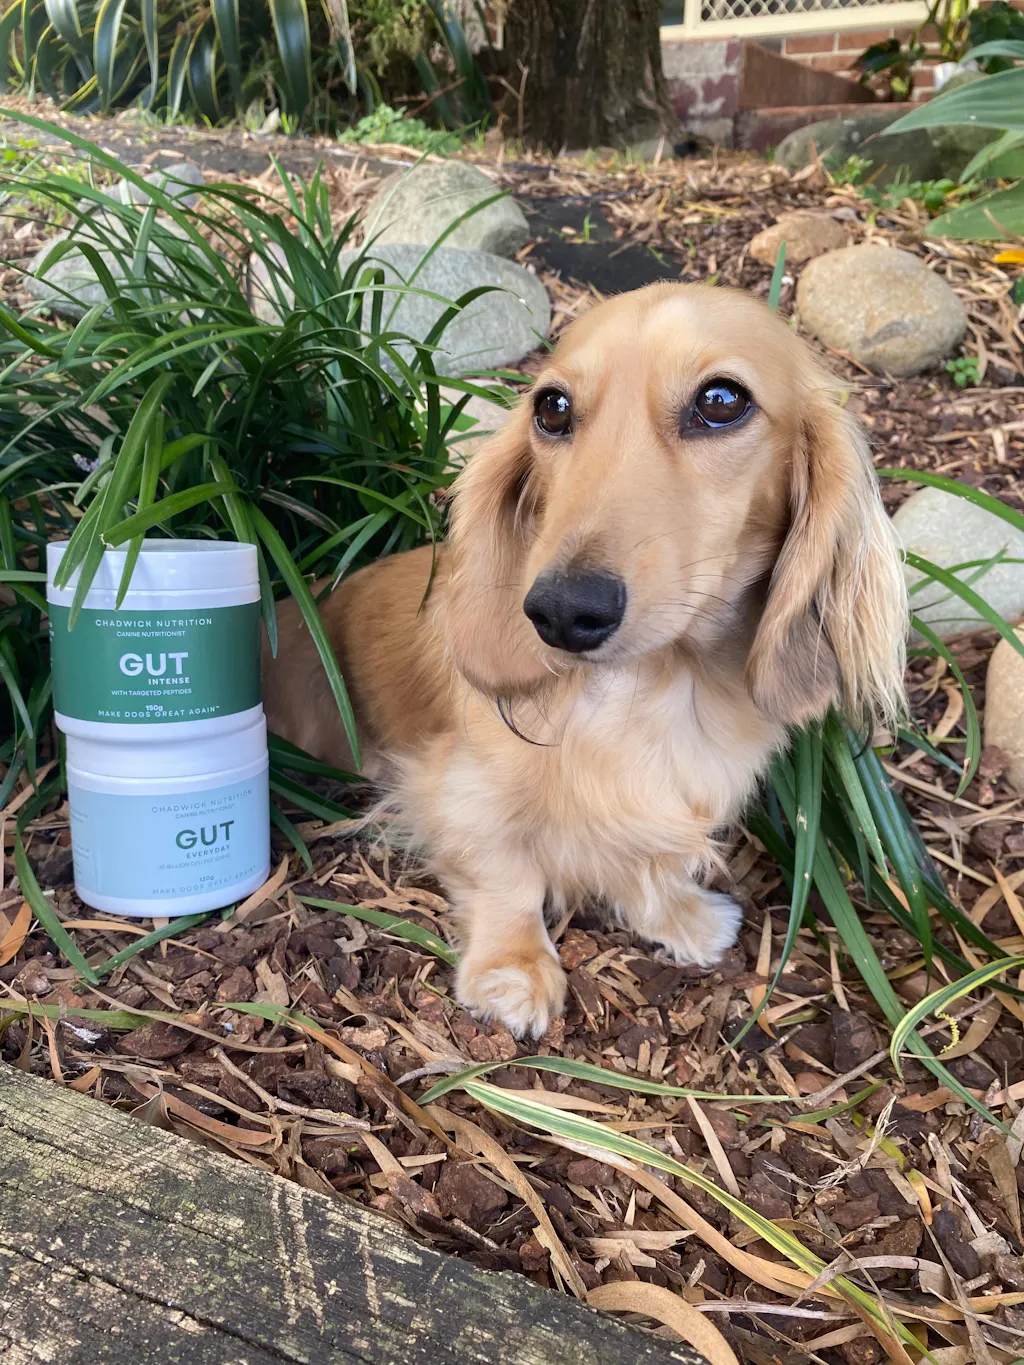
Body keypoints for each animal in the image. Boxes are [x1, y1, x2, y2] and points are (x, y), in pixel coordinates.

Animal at [263, 283, 907, 1038]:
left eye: (722, 400)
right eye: (552, 407)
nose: (561, 613)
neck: (658, 685)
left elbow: (647, 862)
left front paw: (678, 915)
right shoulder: (458, 788)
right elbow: (506, 873)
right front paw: (513, 969)